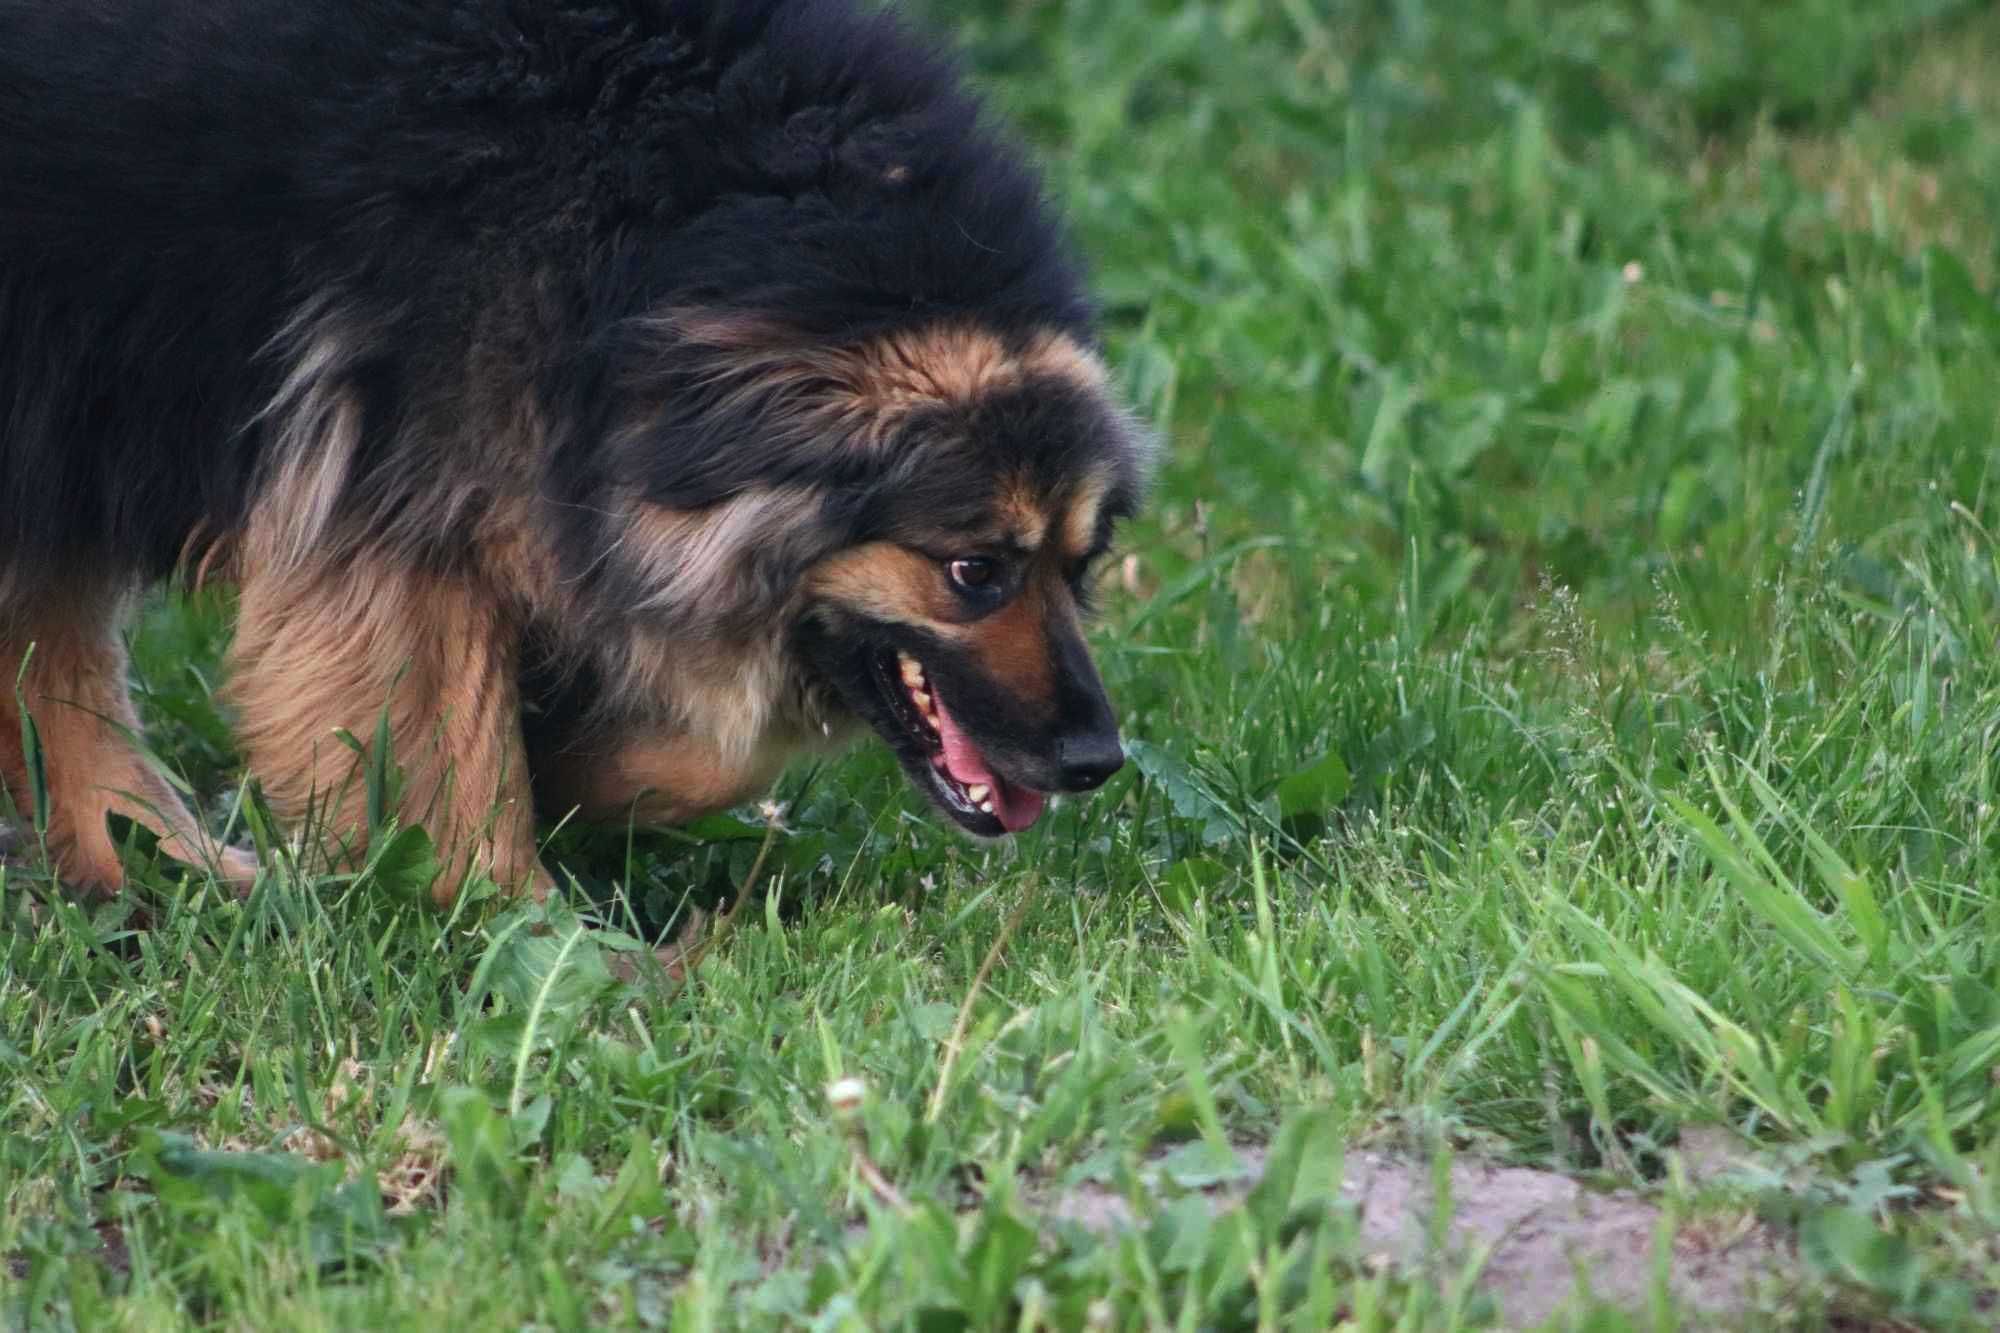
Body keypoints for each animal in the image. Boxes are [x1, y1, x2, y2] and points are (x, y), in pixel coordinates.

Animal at [0, 0, 1152, 904]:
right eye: (972, 570)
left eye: (1080, 564)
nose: (1098, 759)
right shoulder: (401, 506)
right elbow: (446, 746)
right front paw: (510, 916)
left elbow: (718, 748)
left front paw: (573, 770)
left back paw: (136, 855)